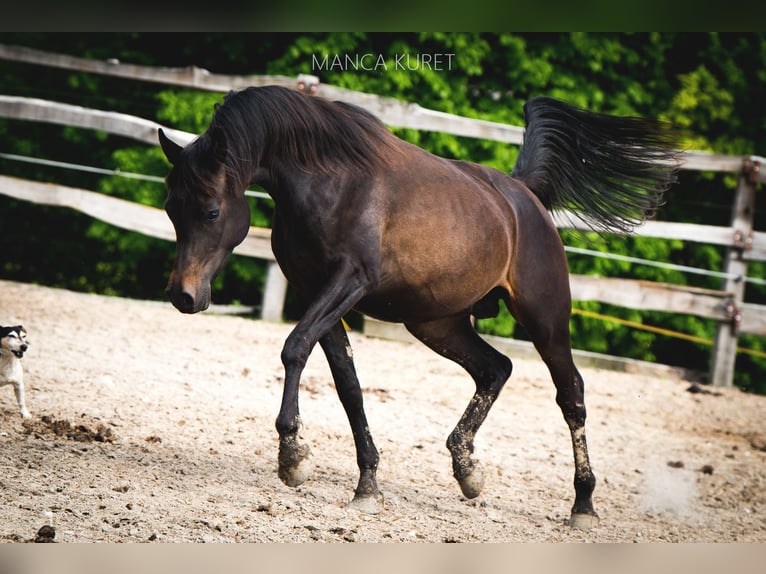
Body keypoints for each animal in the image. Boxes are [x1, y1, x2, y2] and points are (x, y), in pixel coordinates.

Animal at [158, 85, 680, 532]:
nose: (184, 296)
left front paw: (293, 458)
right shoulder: (315, 292)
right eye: (170, 209)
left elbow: (294, 348)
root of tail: (523, 196)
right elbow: (348, 386)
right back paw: (467, 470)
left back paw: (583, 504)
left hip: (545, 319)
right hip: (436, 323)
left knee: (570, 394)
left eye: (211, 210)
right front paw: (367, 486)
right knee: (495, 368)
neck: (331, 181)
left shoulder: (348, 282)